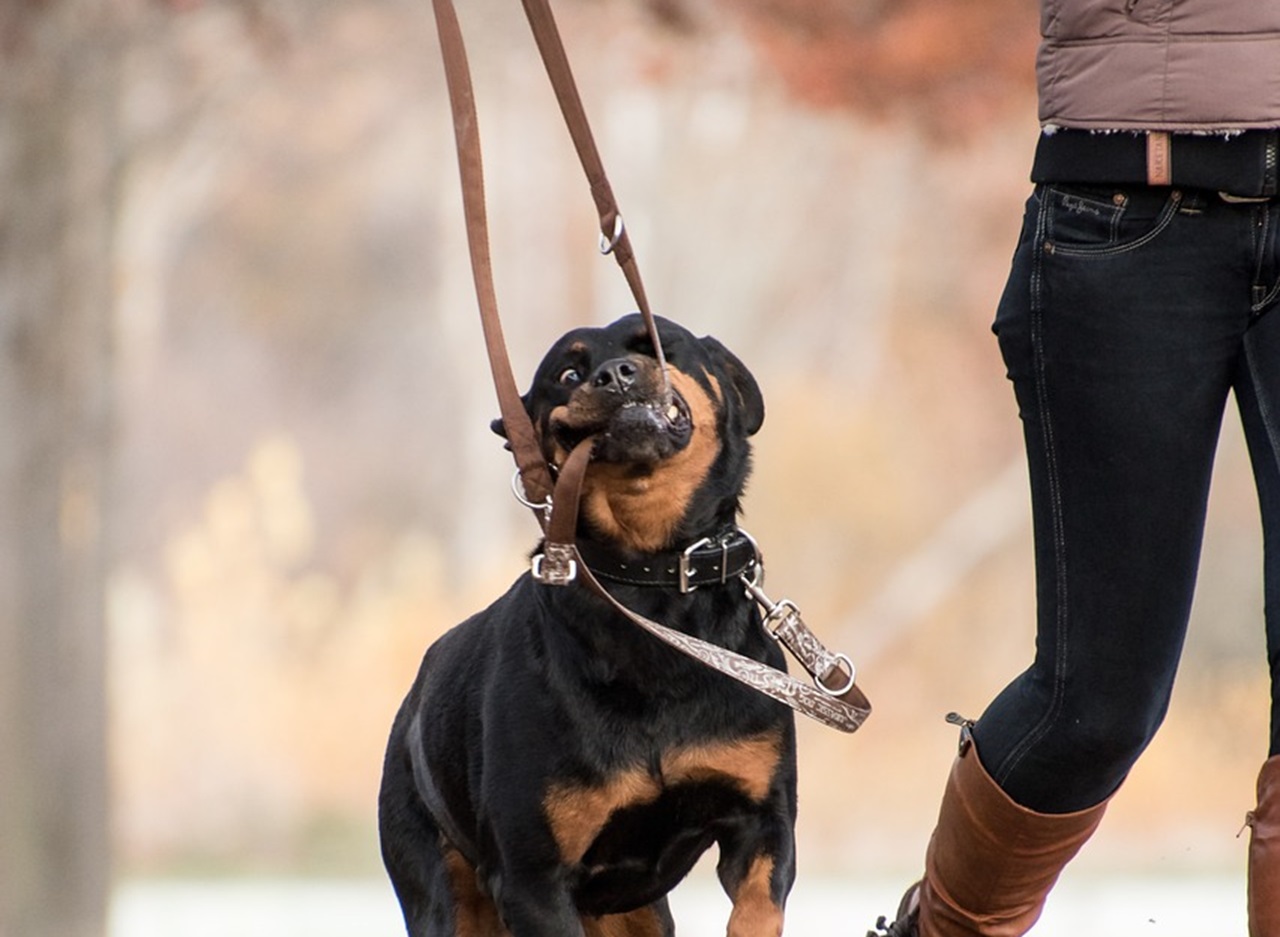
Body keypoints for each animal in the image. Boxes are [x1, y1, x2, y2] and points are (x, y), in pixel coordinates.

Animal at [373, 314, 793, 937]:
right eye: (568, 374)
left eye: (660, 346)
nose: (614, 374)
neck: (647, 585)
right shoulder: (533, 879)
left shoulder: (762, 820)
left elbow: (758, 906)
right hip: (439, 883)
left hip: (633, 914)